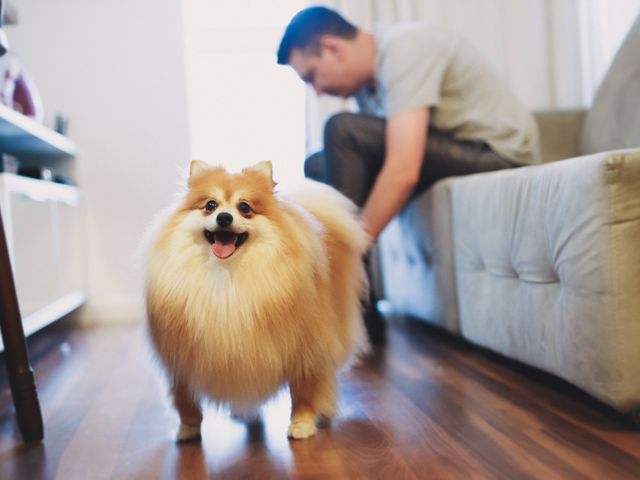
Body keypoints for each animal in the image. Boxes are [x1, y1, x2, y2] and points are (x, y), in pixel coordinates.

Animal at [143, 159, 368, 440]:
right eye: (210, 205)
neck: (226, 279)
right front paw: (188, 428)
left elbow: (304, 390)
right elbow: (185, 399)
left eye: (244, 207)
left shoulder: (305, 348)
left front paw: (302, 423)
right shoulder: (181, 357)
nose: (224, 217)